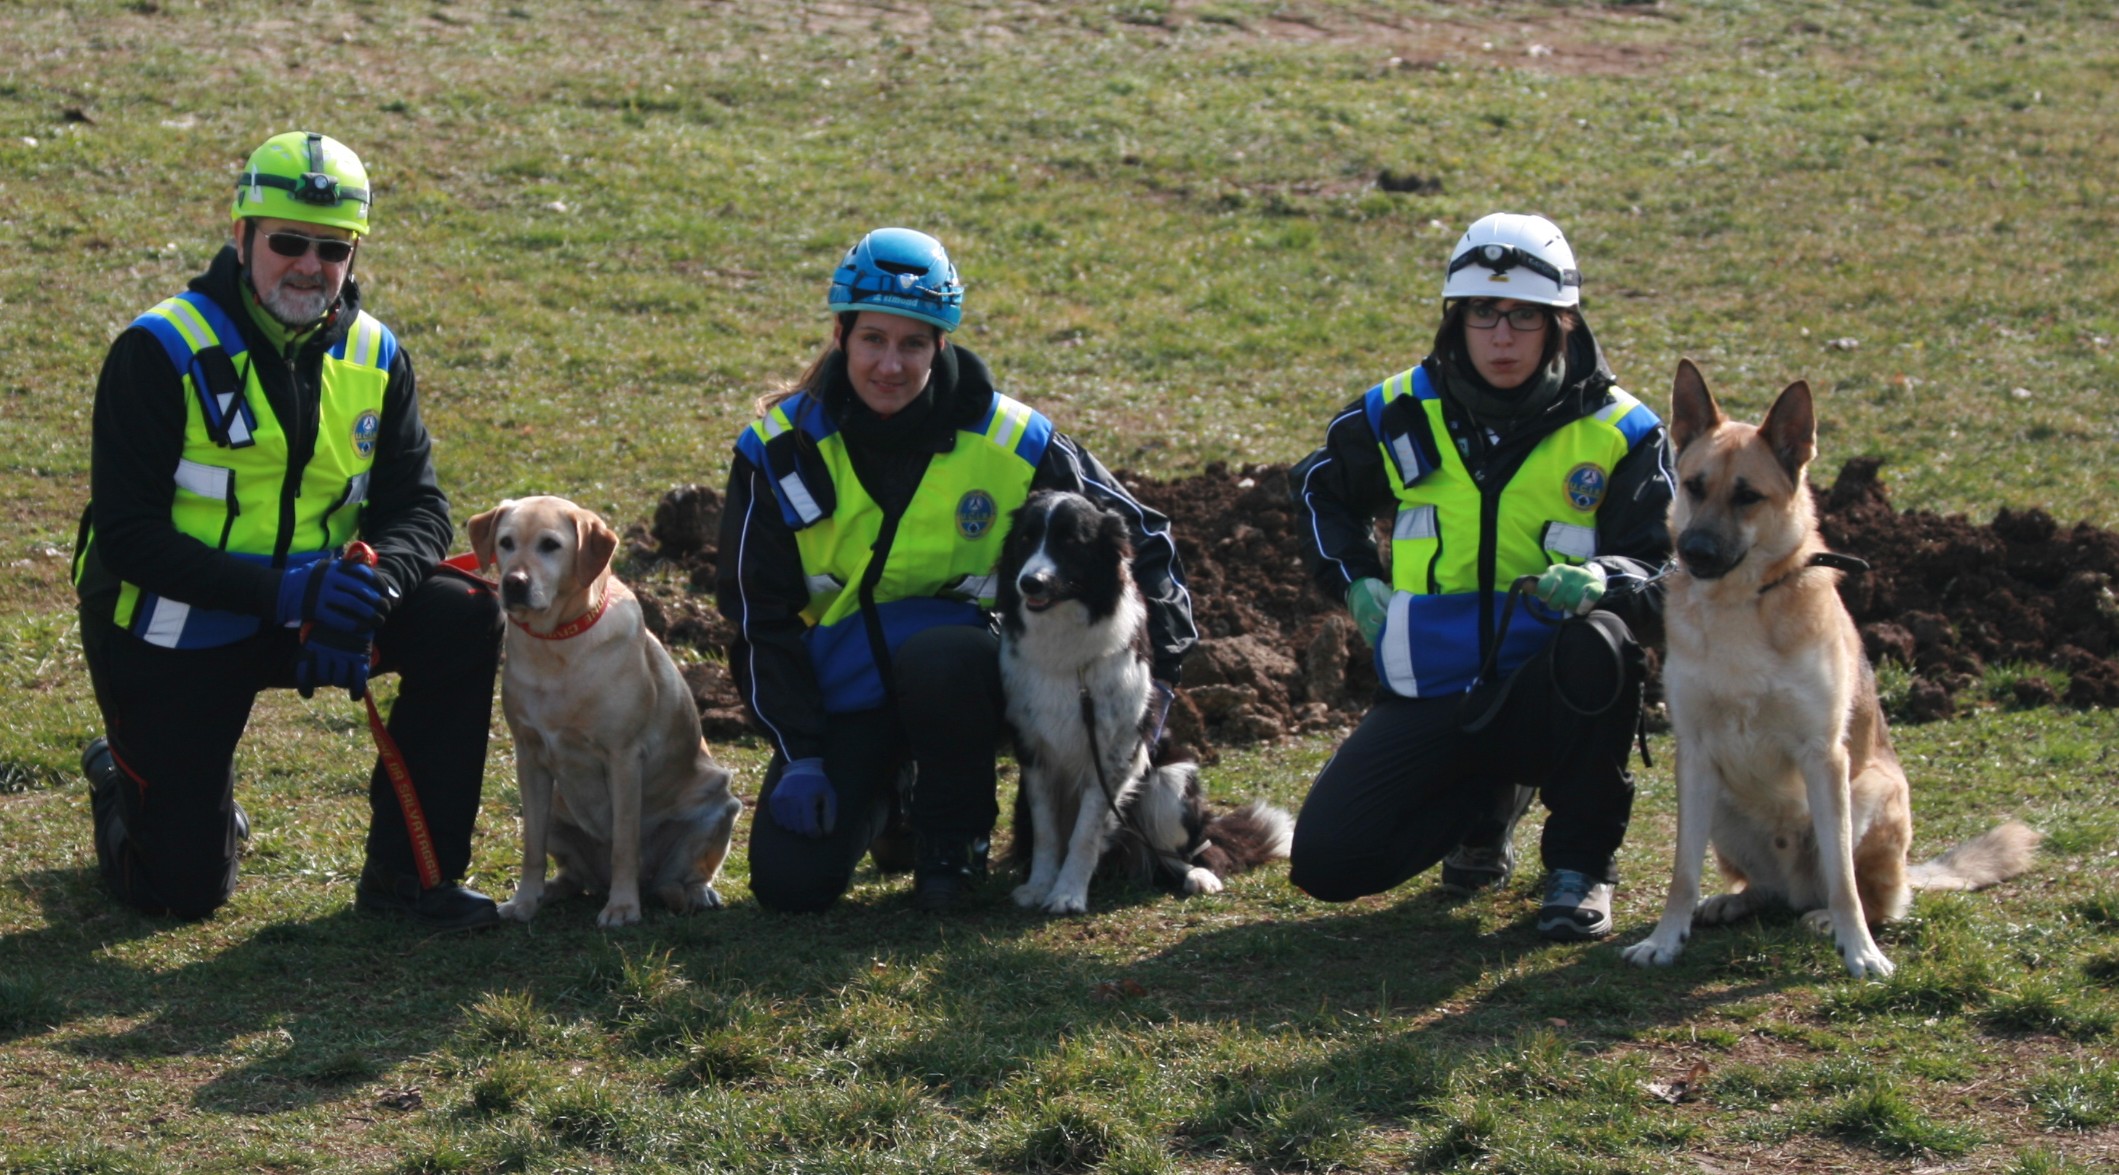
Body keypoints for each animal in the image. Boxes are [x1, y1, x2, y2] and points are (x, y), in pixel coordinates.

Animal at [468, 493, 741, 927]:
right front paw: (525, 901)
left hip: (719, 804)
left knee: (683, 874)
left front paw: (623, 908)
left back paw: (691, 894)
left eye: (550, 545)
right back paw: (552, 891)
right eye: (506, 543)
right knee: (573, 874)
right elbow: (531, 848)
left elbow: (624, 846)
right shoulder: (529, 758)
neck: (557, 645)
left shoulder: (624, 758)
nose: (514, 583)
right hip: (557, 811)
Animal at [995, 491, 1288, 914]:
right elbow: (1048, 832)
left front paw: (1068, 893)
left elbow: (1085, 832)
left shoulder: (1114, 754)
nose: (1029, 582)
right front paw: (1039, 886)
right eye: (1025, 539)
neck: (1065, 646)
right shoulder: (1033, 752)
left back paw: (1200, 876)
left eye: (1071, 542)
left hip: (1168, 784)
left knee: (1189, 852)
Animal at [1618, 364, 2034, 978]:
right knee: (1766, 889)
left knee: (1870, 895)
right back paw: (1734, 901)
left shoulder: (1824, 756)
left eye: (1748, 496)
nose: (1692, 552)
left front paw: (1859, 950)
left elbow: (1844, 882)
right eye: (1693, 485)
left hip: (1869, 792)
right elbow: (1681, 874)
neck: (1741, 605)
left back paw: (1826, 920)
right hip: (1721, 803)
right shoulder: (1692, 755)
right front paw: (1666, 939)